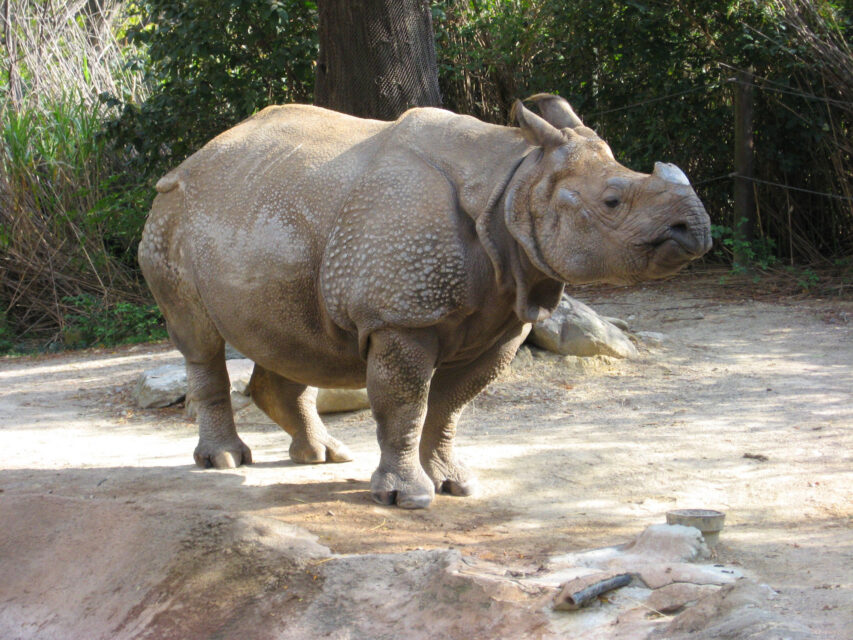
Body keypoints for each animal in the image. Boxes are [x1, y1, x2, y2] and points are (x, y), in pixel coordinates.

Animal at [139, 94, 711, 509]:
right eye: (613, 202)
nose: (696, 230)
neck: (516, 182)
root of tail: (192, 158)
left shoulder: (503, 319)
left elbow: (450, 406)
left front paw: (456, 485)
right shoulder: (401, 318)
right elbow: (406, 404)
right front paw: (406, 498)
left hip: (260, 211)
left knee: (293, 338)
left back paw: (324, 456)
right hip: (173, 214)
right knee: (199, 339)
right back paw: (226, 462)